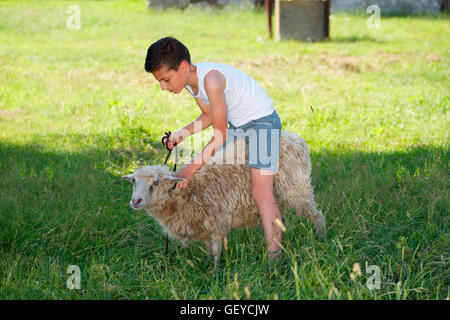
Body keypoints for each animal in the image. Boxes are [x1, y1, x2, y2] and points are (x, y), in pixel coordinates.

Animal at [122, 131, 326, 268]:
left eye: (155, 183)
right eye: (133, 181)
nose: (135, 201)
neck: (183, 195)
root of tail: (297, 139)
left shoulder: (217, 223)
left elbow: (216, 252)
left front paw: (216, 273)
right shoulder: (204, 229)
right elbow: (209, 251)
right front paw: (207, 267)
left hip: (297, 189)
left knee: (317, 215)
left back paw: (321, 240)